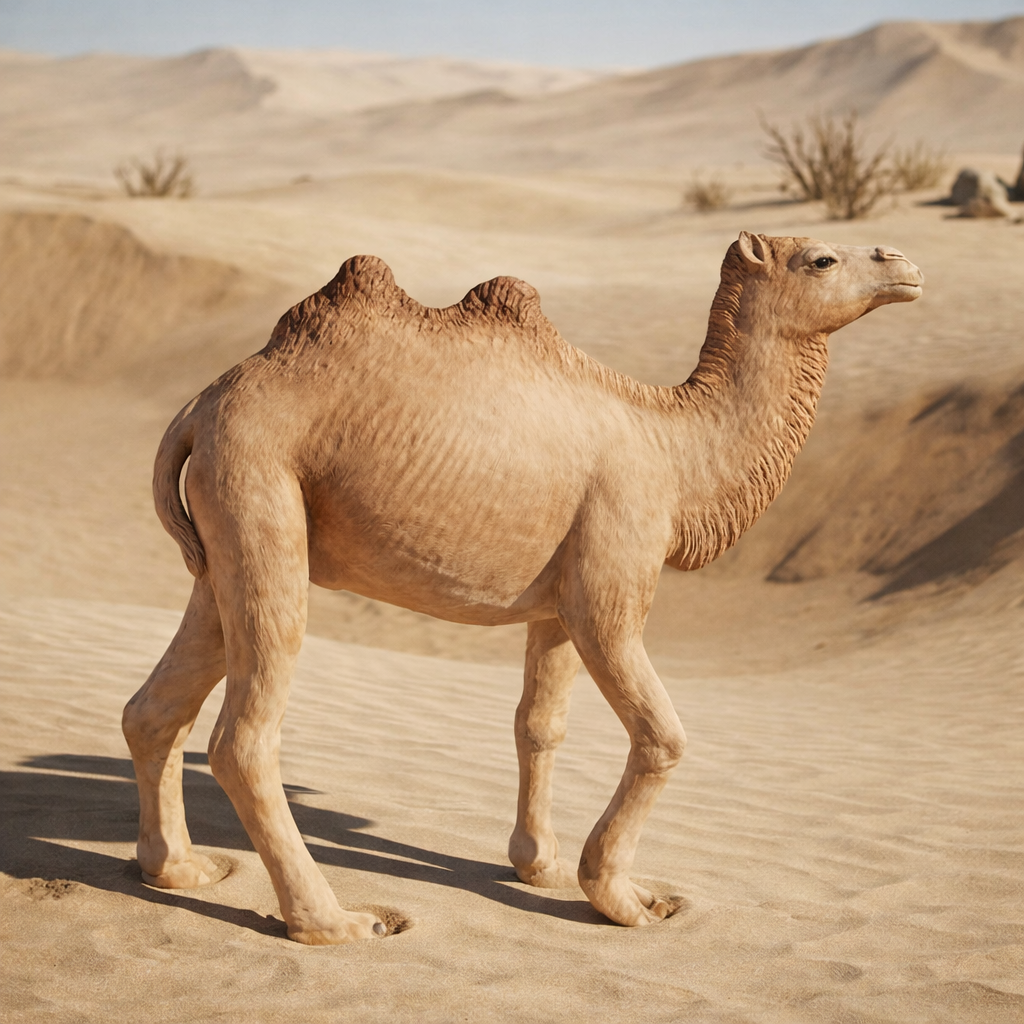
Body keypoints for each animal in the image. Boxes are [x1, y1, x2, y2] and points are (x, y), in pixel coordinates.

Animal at [122, 232, 923, 945]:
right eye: (822, 259)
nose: (904, 264)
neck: (675, 451)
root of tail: (197, 407)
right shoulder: (612, 580)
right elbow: (663, 736)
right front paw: (622, 896)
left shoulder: (559, 603)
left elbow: (539, 725)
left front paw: (540, 865)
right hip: (262, 490)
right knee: (244, 739)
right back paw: (334, 921)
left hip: (226, 542)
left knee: (156, 707)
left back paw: (181, 869)